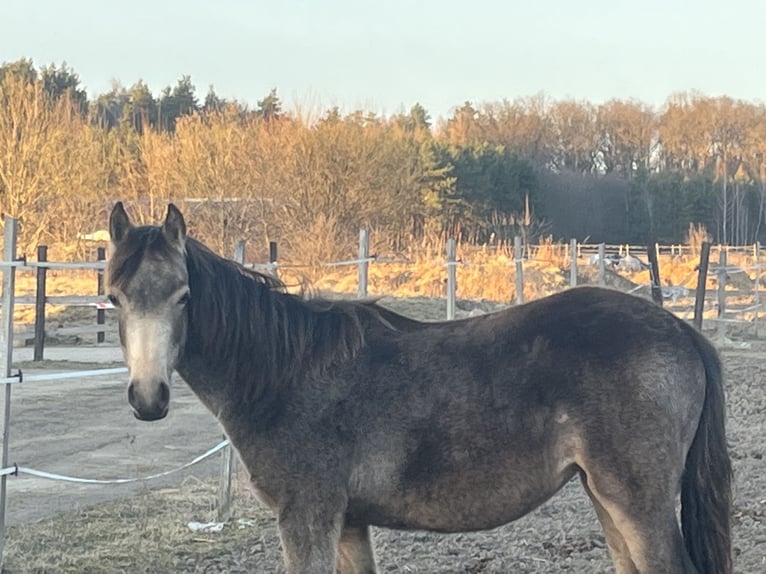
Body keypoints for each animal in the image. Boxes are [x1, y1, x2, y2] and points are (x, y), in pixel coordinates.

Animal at [106, 204, 732, 574]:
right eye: (114, 298)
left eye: (184, 296)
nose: (148, 398)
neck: (284, 376)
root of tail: (681, 329)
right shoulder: (348, 522)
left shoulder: (306, 518)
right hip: (606, 497)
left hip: (637, 502)